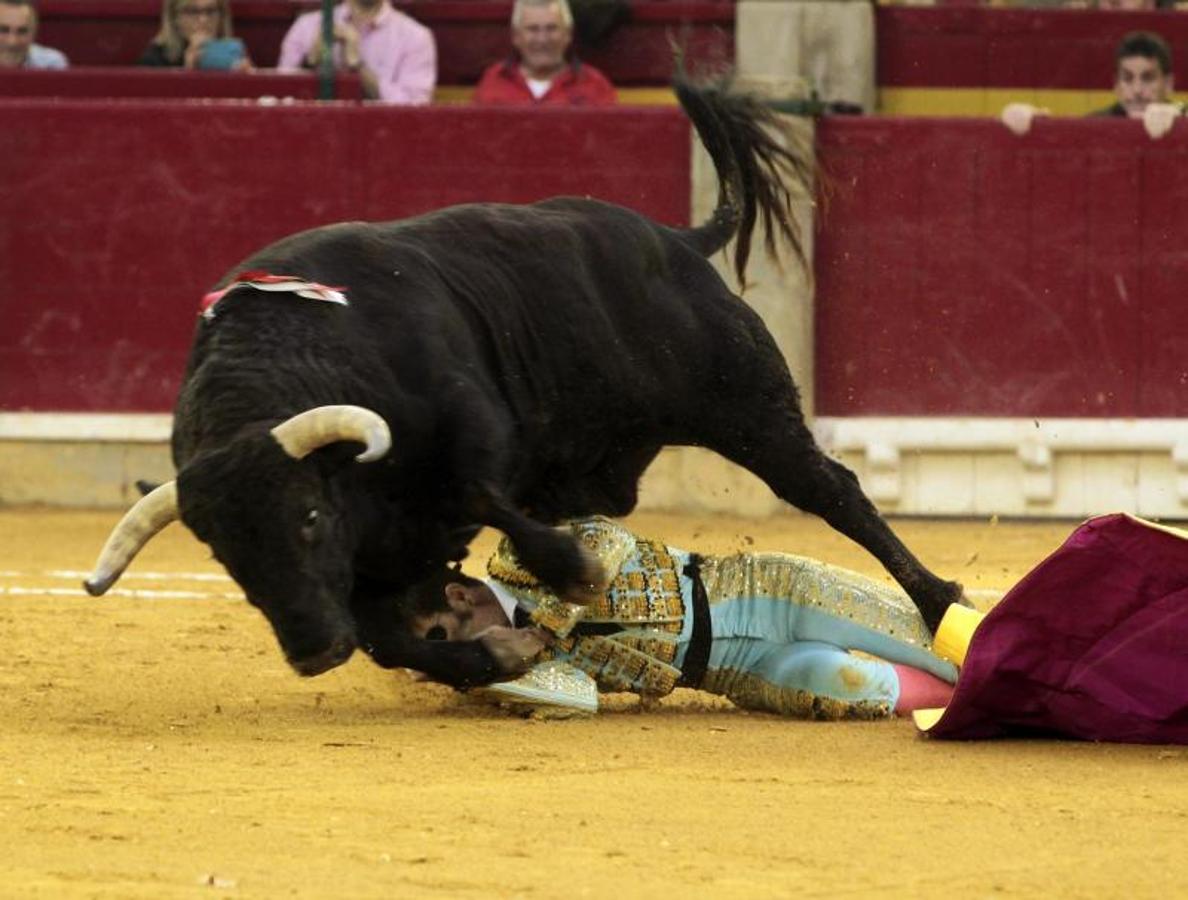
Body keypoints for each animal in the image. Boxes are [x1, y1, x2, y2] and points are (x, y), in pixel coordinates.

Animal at [87, 79, 964, 683]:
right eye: (222, 553)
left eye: (305, 516)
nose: (312, 651)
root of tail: (676, 239)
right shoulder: (377, 557)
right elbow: (393, 638)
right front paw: (496, 652)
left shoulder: (472, 429)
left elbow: (479, 490)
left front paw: (574, 573)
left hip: (750, 407)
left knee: (834, 492)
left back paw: (940, 599)